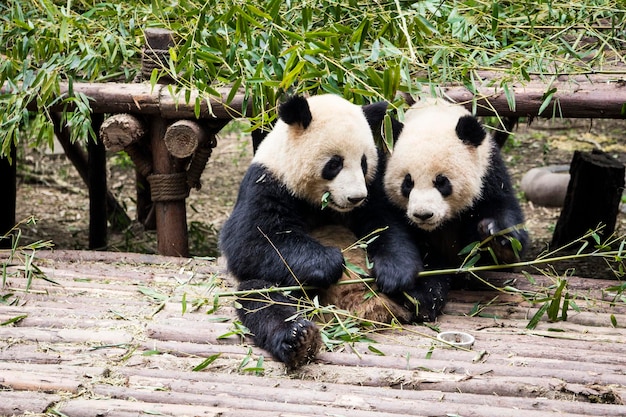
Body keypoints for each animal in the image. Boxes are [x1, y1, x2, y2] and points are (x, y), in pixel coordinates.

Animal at [219, 94, 420, 368]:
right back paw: (298, 338)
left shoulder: (373, 187)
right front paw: (330, 261)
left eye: (364, 163)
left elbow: (388, 224)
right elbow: (250, 242)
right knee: (261, 297)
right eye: (334, 163)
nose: (356, 197)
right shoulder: (267, 182)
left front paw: (393, 273)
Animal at [382, 99, 528, 320]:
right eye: (407, 183)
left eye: (441, 181)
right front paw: (423, 294)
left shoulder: (490, 173)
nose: (423, 215)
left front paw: (496, 239)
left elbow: (503, 211)